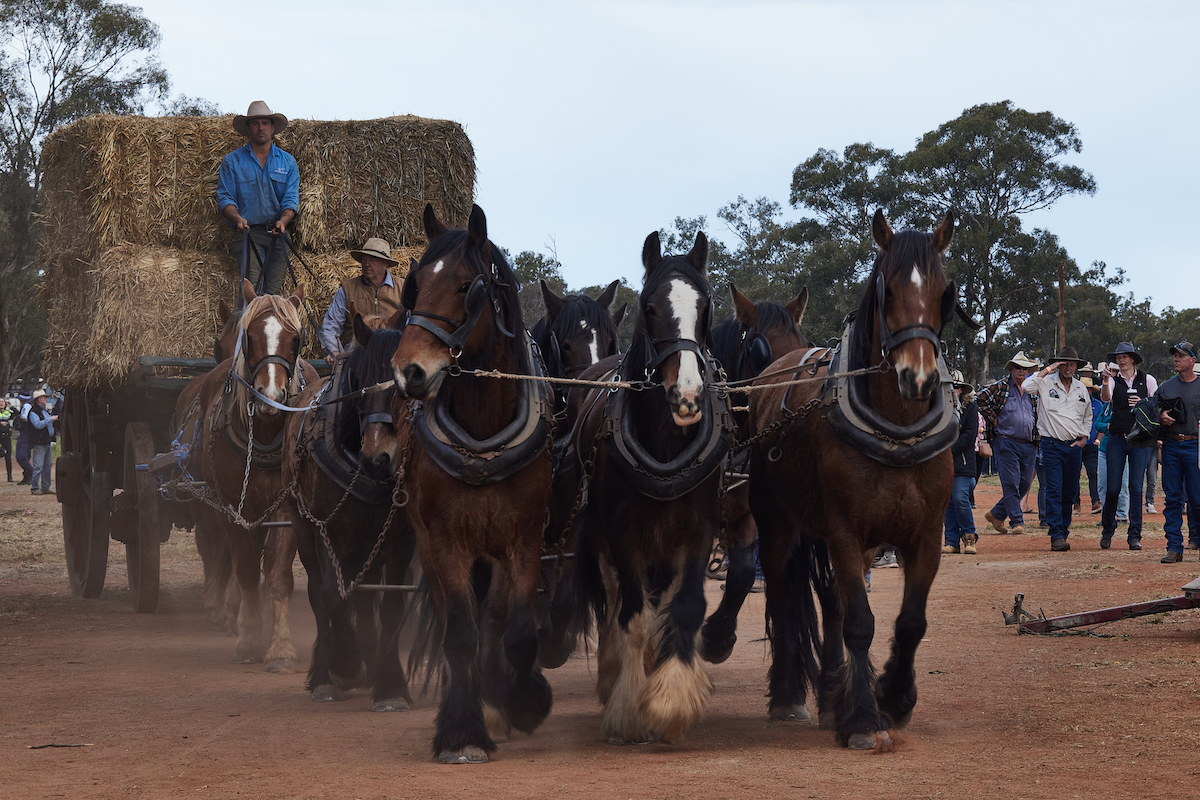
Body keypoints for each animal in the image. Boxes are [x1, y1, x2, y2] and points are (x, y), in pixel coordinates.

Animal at [283, 316, 420, 710]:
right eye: (359, 385)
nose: (378, 458)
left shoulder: (400, 539)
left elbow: (391, 604)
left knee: (364, 594)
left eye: (407, 387)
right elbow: (330, 594)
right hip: (304, 530)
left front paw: (390, 685)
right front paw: (343, 665)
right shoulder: (326, 529)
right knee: (319, 594)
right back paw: (325, 672)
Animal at [388, 203, 552, 767]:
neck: (482, 436)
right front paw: (462, 732)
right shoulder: (445, 540)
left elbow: (519, 631)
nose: (409, 372)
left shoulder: (523, 537)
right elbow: (459, 633)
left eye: (466, 287)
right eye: (414, 286)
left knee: (498, 620)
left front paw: (522, 701)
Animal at [556, 231, 734, 743]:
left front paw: (671, 699)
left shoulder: (699, 529)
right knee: (616, 602)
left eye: (706, 305)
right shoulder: (623, 534)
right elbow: (631, 615)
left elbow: (686, 606)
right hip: (599, 539)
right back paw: (614, 674)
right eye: (650, 307)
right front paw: (631, 709)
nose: (688, 395)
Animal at [748, 209, 955, 748]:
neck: (897, 432)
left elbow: (910, 622)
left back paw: (830, 696)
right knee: (782, 597)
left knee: (833, 606)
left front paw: (893, 699)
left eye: (944, 291)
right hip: (776, 526)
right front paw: (863, 718)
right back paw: (789, 696)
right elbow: (860, 623)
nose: (918, 378)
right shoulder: (844, 530)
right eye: (888, 290)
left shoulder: (925, 534)